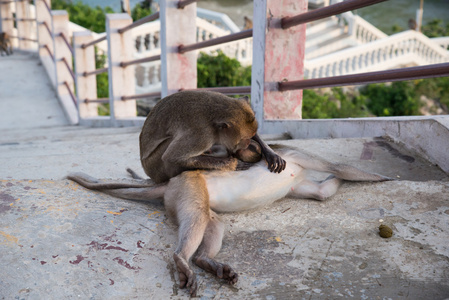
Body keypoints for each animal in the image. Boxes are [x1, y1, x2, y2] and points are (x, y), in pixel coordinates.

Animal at [65, 142, 390, 296]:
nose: (245, 154)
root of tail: (169, 185)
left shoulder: (297, 177)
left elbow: (322, 192)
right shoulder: (294, 153)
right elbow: (338, 166)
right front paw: (380, 177)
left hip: (188, 195)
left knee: (212, 224)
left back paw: (206, 262)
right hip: (192, 187)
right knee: (195, 218)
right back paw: (182, 259)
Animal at [138, 89, 286, 184]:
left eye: (249, 138)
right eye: (243, 140)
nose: (248, 142)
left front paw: (271, 154)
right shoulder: (202, 135)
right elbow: (171, 157)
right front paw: (233, 164)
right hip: (155, 166)